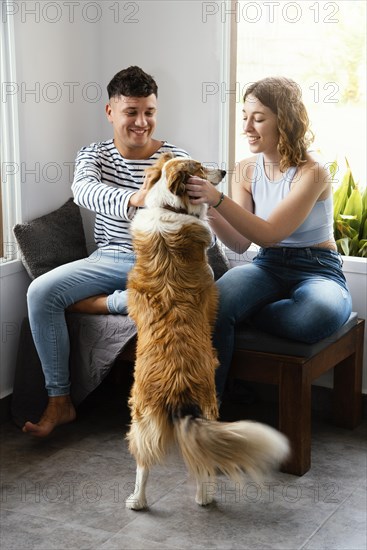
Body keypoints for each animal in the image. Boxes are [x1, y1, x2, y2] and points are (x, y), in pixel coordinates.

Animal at [126, 153, 290, 512]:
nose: (225, 171)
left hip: (142, 417)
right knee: (200, 464)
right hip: (209, 405)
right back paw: (205, 497)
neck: (170, 207)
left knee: (144, 461)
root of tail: (176, 388)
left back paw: (138, 501)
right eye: (199, 167)